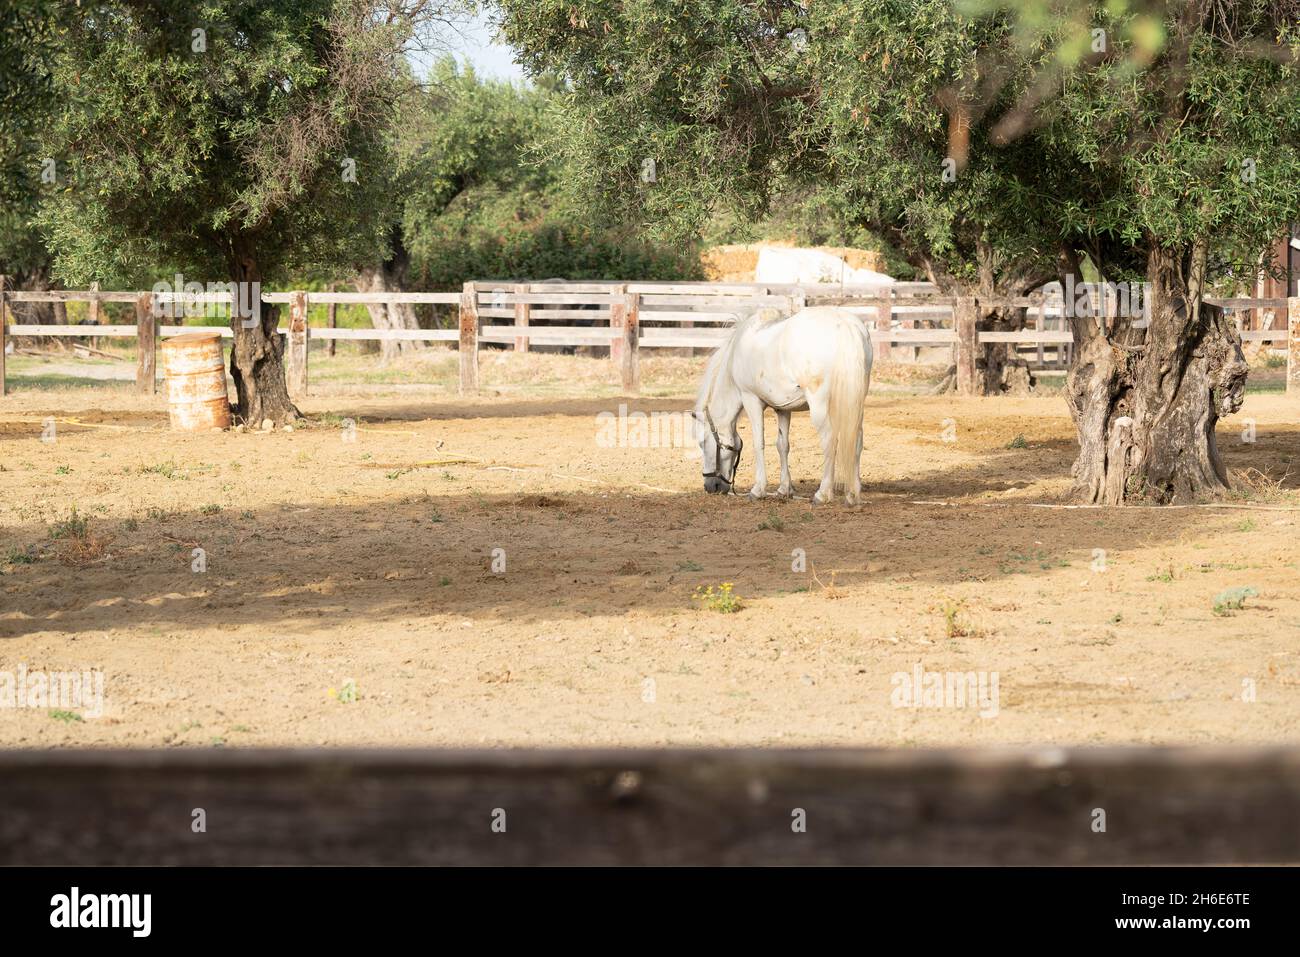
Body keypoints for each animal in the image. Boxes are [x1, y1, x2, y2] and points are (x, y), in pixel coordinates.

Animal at [694, 306, 873, 505]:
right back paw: (852, 494)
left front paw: (758, 489)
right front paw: (784, 489)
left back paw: (823, 493)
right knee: (857, 440)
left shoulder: (751, 399)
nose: (710, 487)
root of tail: (845, 324)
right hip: (856, 403)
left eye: (702, 443)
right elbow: (782, 445)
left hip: (820, 405)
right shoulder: (782, 409)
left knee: (829, 440)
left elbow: (759, 443)